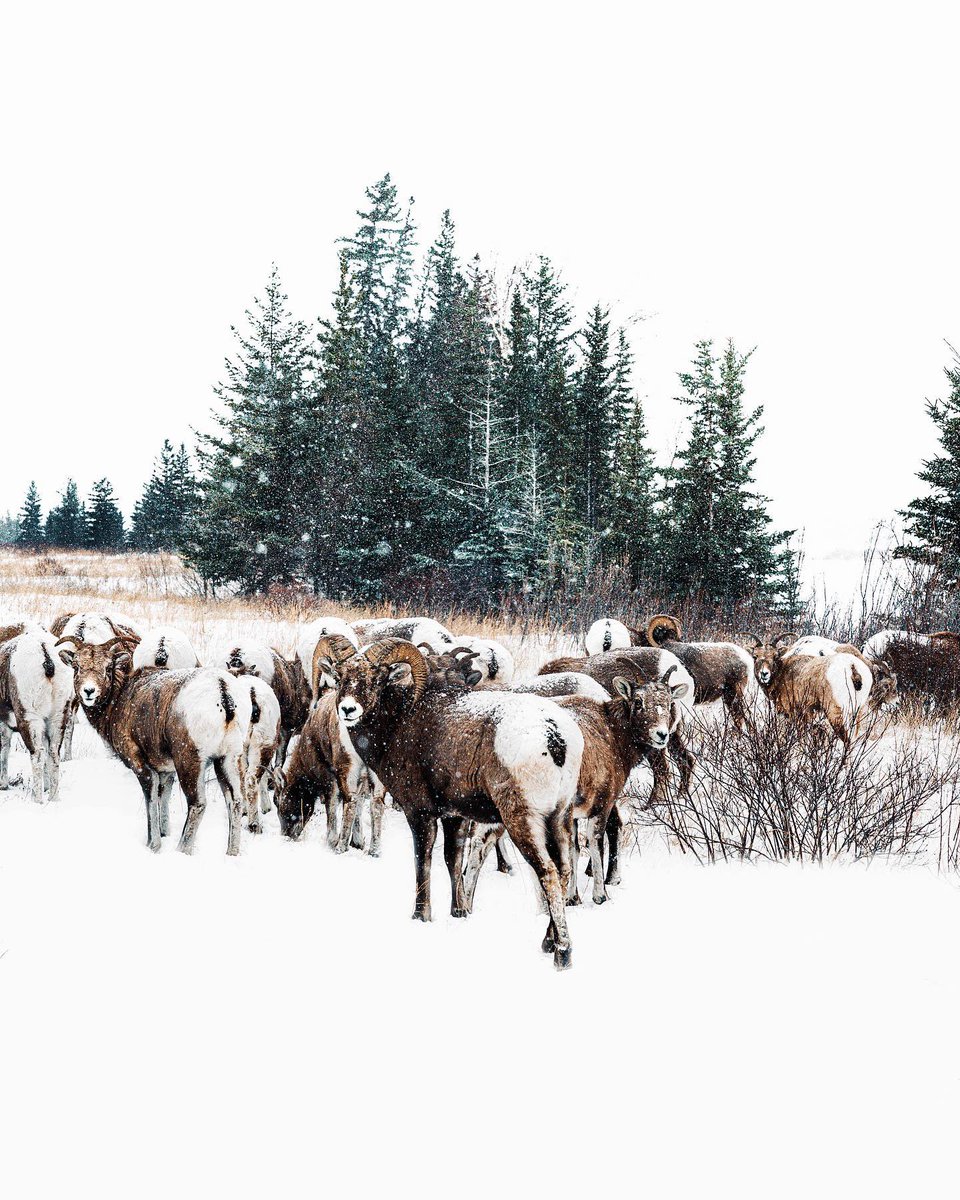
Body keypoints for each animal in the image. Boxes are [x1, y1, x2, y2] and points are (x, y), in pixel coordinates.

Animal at [0, 630, 74, 802]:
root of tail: (46, 656)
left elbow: (3, 751)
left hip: (29, 717)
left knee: (38, 754)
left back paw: (37, 800)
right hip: (58, 717)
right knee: (53, 753)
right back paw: (53, 798)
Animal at [56, 634, 251, 854]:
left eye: (108, 667)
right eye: (76, 666)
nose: (89, 691)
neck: (117, 702)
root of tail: (223, 692)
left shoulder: (141, 765)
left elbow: (150, 798)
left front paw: (154, 844)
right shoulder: (165, 770)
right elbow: (162, 797)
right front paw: (164, 832)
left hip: (190, 761)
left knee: (198, 804)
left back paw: (181, 849)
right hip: (229, 759)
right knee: (236, 801)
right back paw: (231, 853)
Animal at [333, 638, 584, 969]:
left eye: (375, 679)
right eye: (340, 678)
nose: (348, 709)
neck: (399, 724)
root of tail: (554, 737)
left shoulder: (420, 813)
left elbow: (423, 861)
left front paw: (421, 915)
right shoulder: (456, 816)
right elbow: (453, 861)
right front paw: (460, 912)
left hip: (523, 820)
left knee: (548, 873)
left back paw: (562, 953)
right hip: (560, 818)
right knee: (565, 869)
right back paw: (548, 942)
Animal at [555, 667, 692, 904]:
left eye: (669, 702)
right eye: (638, 701)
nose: (661, 734)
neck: (613, 734)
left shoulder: (572, 814)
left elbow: (574, 848)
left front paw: (572, 899)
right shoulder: (602, 803)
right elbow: (595, 842)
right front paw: (600, 896)